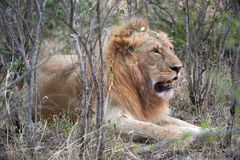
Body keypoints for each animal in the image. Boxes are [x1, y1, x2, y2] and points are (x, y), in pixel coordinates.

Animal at [34, 18, 202, 141]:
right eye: (155, 51)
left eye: (171, 48)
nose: (179, 67)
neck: (139, 89)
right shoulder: (103, 122)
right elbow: (150, 128)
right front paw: (179, 137)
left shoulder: (152, 115)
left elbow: (185, 123)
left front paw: (206, 131)